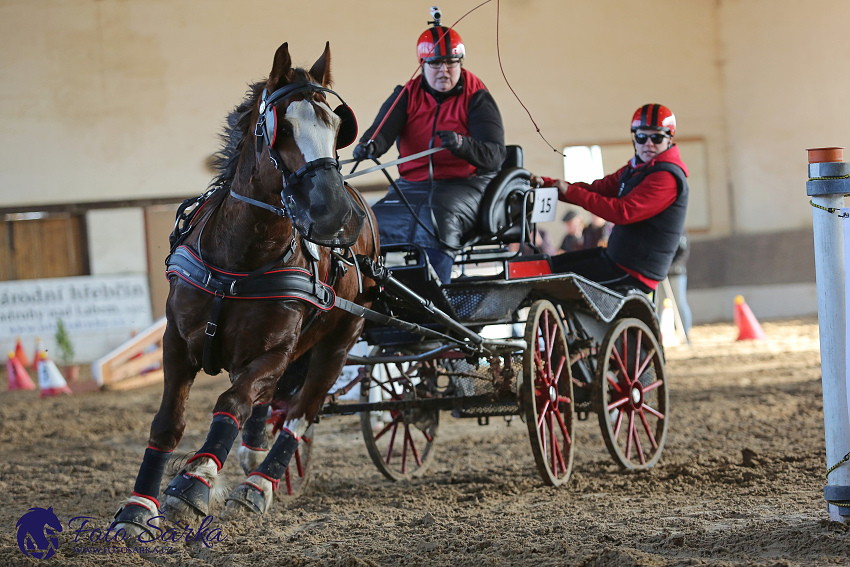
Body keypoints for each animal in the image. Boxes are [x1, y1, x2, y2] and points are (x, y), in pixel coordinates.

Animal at [111, 41, 376, 536]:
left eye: (336, 127)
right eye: (282, 127)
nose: (335, 215)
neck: (238, 262)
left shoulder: (273, 352)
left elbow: (232, 402)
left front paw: (194, 482)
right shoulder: (176, 340)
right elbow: (167, 422)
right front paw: (137, 508)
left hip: (340, 339)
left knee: (300, 411)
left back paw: (258, 483)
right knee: (272, 406)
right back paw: (252, 453)